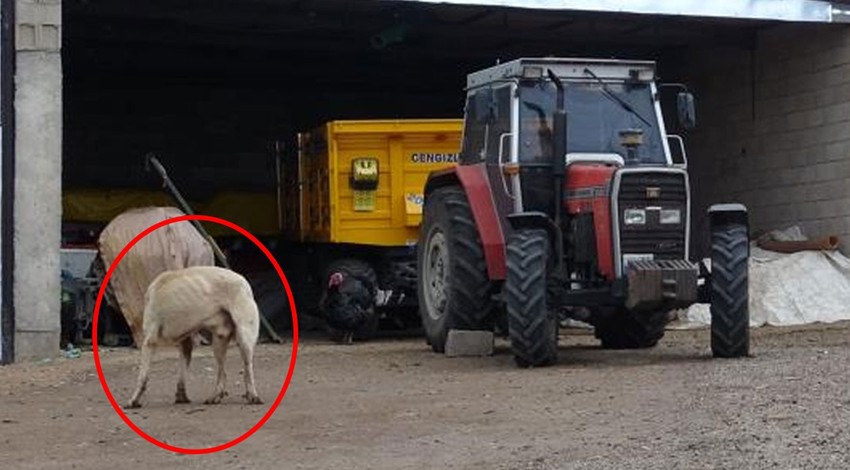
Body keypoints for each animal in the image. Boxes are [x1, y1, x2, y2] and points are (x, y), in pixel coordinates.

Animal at [126, 264, 262, 408]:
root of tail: (244, 282)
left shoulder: (149, 342)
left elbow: (142, 377)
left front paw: (134, 400)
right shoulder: (185, 343)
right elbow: (181, 376)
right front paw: (181, 397)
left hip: (244, 339)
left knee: (248, 370)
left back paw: (253, 395)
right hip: (219, 344)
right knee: (223, 373)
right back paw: (215, 396)